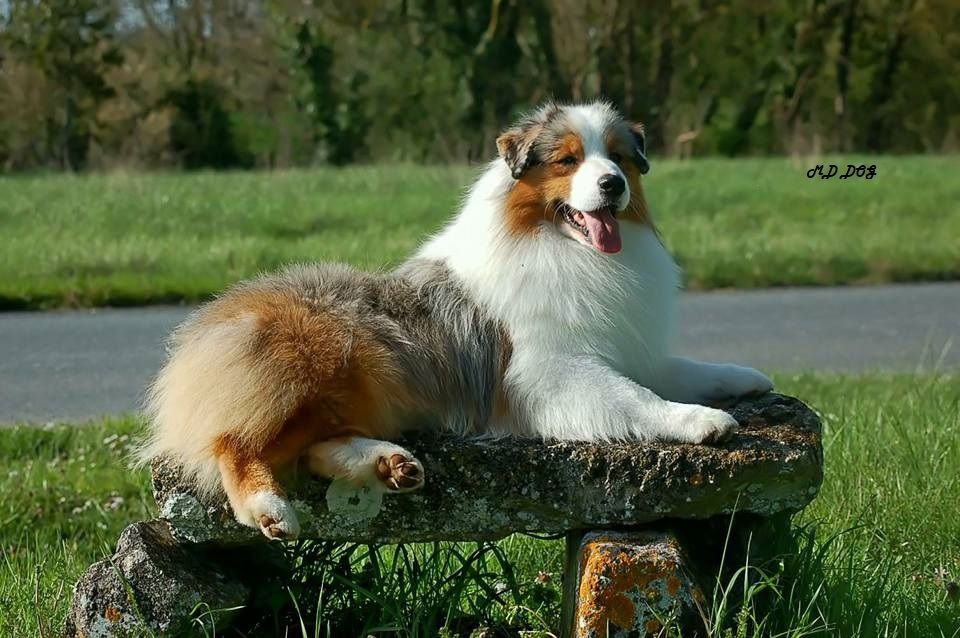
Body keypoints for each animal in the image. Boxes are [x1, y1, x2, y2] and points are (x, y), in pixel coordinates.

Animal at [137, 102, 772, 544]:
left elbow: (683, 369)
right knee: (234, 444)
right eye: (567, 160)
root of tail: (210, 323)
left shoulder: (629, 349)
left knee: (313, 447)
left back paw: (390, 465)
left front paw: (746, 378)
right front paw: (701, 422)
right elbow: (636, 399)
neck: (563, 248)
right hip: (316, 358)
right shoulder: (551, 373)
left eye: (617, 157)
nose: (612, 184)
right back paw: (270, 510)